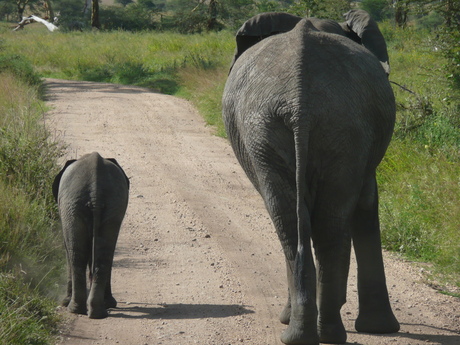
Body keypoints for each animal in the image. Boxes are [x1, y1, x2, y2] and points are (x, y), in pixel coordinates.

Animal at [53, 152, 130, 318]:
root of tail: (96, 191)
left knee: (77, 255)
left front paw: (64, 302)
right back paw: (95, 312)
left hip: (72, 204)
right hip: (111, 204)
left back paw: (77, 309)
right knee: (103, 254)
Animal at [222, 10, 398, 344]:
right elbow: (367, 203)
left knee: (293, 223)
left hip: (291, 127)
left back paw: (306, 332)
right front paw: (379, 328)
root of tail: (298, 100)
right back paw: (320, 331)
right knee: (320, 223)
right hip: (323, 128)